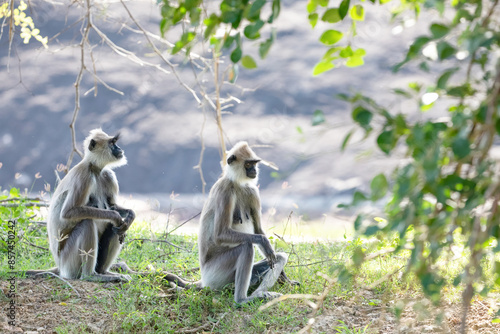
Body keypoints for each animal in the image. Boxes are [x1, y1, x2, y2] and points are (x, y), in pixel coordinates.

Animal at [47, 129, 135, 282]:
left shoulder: (108, 175)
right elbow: (68, 212)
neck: (95, 170)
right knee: (87, 222)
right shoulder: (84, 177)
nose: (120, 149)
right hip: (69, 261)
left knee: (116, 229)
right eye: (112, 143)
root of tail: (60, 266)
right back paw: (91, 276)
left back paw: (104, 272)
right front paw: (116, 216)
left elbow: (113, 206)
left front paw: (130, 215)